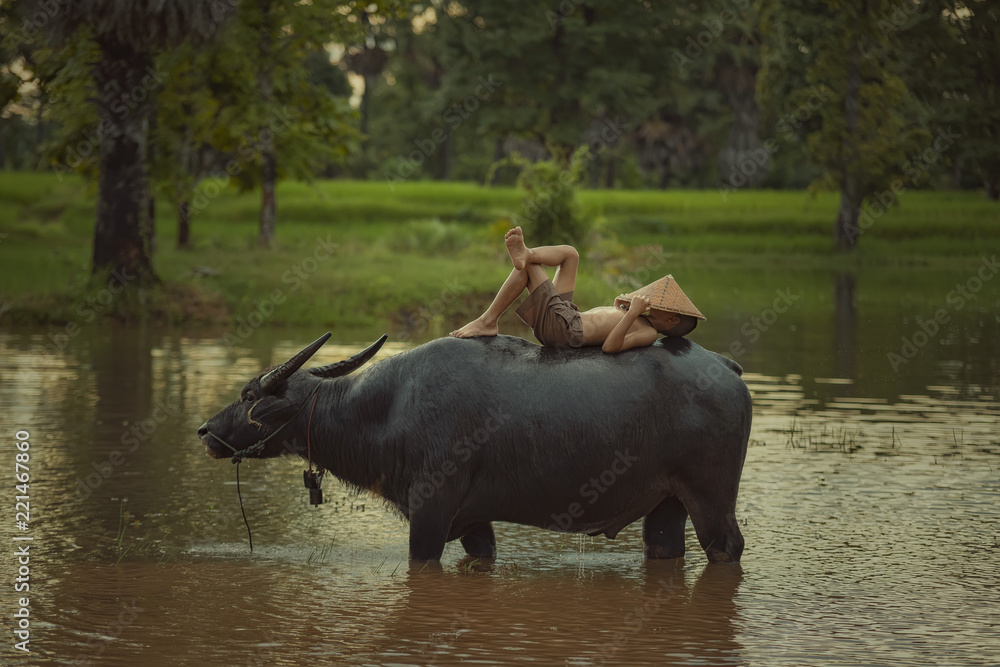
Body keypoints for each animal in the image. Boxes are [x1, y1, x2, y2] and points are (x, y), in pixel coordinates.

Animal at [199, 334, 752, 564]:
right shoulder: (473, 523)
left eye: (247, 395)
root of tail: (725, 366)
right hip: (666, 507)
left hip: (712, 501)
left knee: (728, 548)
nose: (204, 430)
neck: (389, 407)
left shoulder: (430, 513)